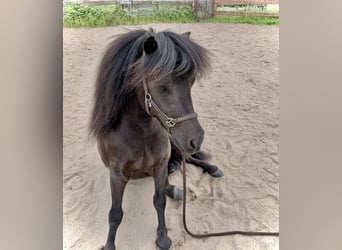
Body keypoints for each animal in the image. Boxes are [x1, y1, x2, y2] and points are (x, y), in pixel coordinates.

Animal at [89, 28, 222, 249]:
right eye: (162, 87)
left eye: (191, 82)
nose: (196, 138)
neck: (139, 133)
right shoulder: (117, 176)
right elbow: (115, 214)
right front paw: (109, 245)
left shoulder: (159, 166)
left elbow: (159, 201)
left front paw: (162, 237)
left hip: (176, 142)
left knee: (188, 158)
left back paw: (211, 169)